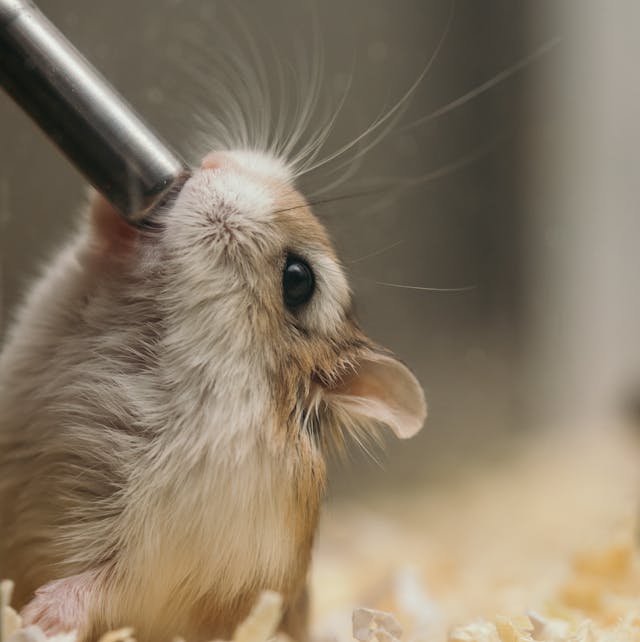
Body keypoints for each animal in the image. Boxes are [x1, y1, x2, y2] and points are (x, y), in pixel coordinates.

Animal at [1, 148, 430, 636]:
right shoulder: (60, 300)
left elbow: (110, 585)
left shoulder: (174, 559)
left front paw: (37, 618)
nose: (213, 161)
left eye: (298, 279)